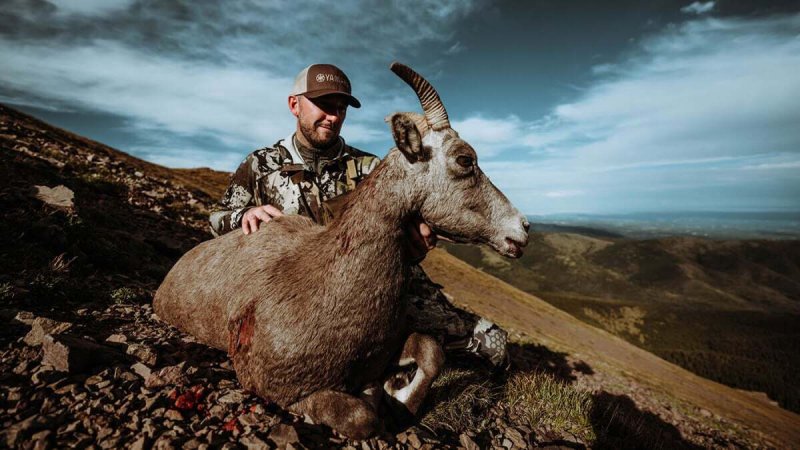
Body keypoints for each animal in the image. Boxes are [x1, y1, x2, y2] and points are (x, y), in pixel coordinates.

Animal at [155, 63, 532, 440]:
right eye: (465, 159)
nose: (523, 228)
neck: (328, 282)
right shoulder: (278, 387)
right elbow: (361, 417)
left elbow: (430, 351)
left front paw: (395, 391)